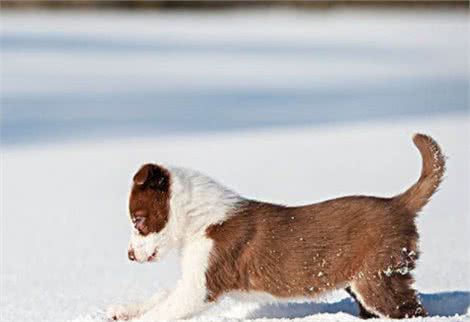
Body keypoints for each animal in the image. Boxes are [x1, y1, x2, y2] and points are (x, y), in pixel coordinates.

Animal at [106, 134, 444, 322]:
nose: (129, 256)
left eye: (138, 220)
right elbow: (160, 296)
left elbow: (165, 308)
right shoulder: (192, 278)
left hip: (377, 277)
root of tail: (398, 203)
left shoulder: (202, 285)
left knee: (410, 311)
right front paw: (123, 310)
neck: (200, 220)